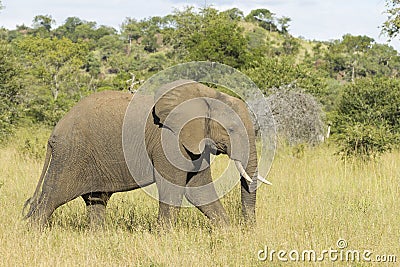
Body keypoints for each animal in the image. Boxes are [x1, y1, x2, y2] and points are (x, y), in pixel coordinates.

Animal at [23, 79, 270, 228]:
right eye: (232, 130)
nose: (249, 229)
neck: (205, 95)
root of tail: (54, 133)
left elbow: (199, 190)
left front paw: (227, 233)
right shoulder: (169, 142)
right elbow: (174, 187)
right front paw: (165, 236)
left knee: (96, 201)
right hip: (71, 155)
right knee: (51, 198)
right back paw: (34, 235)